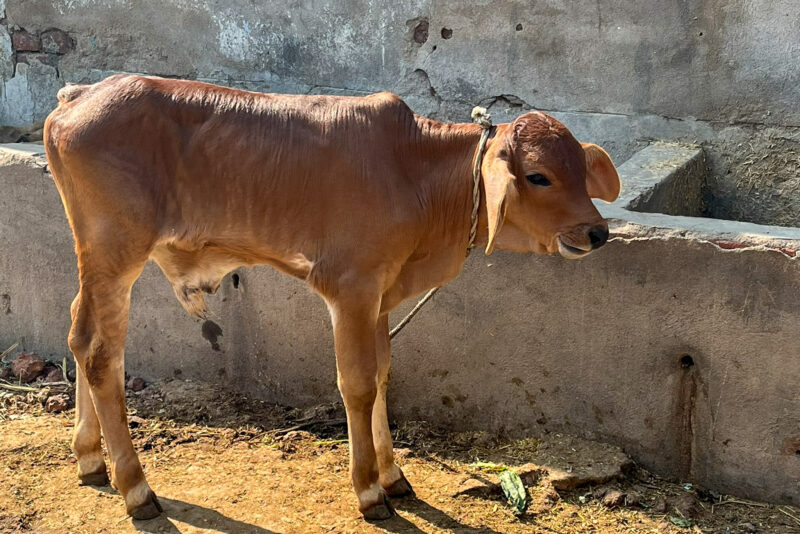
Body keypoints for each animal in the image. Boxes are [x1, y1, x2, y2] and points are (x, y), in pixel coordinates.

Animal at [43, 74, 620, 521]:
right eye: (539, 176)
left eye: (579, 169)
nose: (597, 233)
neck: (415, 172)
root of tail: (80, 94)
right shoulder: (351, 289)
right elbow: (358, 384)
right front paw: (369, 491)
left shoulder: (382, 295)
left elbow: (384, 375)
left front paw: (393, 475)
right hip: (115, 253)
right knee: (100, 351)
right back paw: (135, 487)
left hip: (96, 261)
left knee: (79, 334)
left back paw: (90, 459)